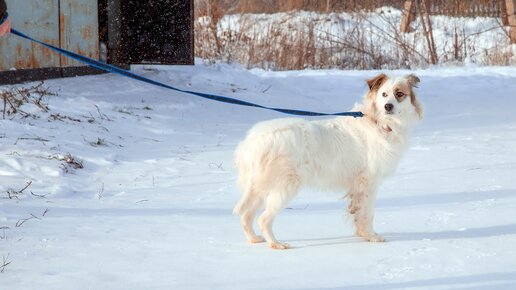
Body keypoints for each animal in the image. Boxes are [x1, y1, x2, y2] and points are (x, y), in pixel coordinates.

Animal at [234, 73, 424, 249]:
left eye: (399, 94)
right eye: (384, 94)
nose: (387, 106)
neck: (377, 121)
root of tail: (255, 140)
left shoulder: (358, 187)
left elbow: (357, 212)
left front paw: (363, 234)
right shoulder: (369, 183)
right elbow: (367, 214)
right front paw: (372, 236)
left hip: (260, 188)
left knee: (246, 215)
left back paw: (254, 239)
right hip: (284, 187)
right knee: (263, 219)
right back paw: (276, 244)